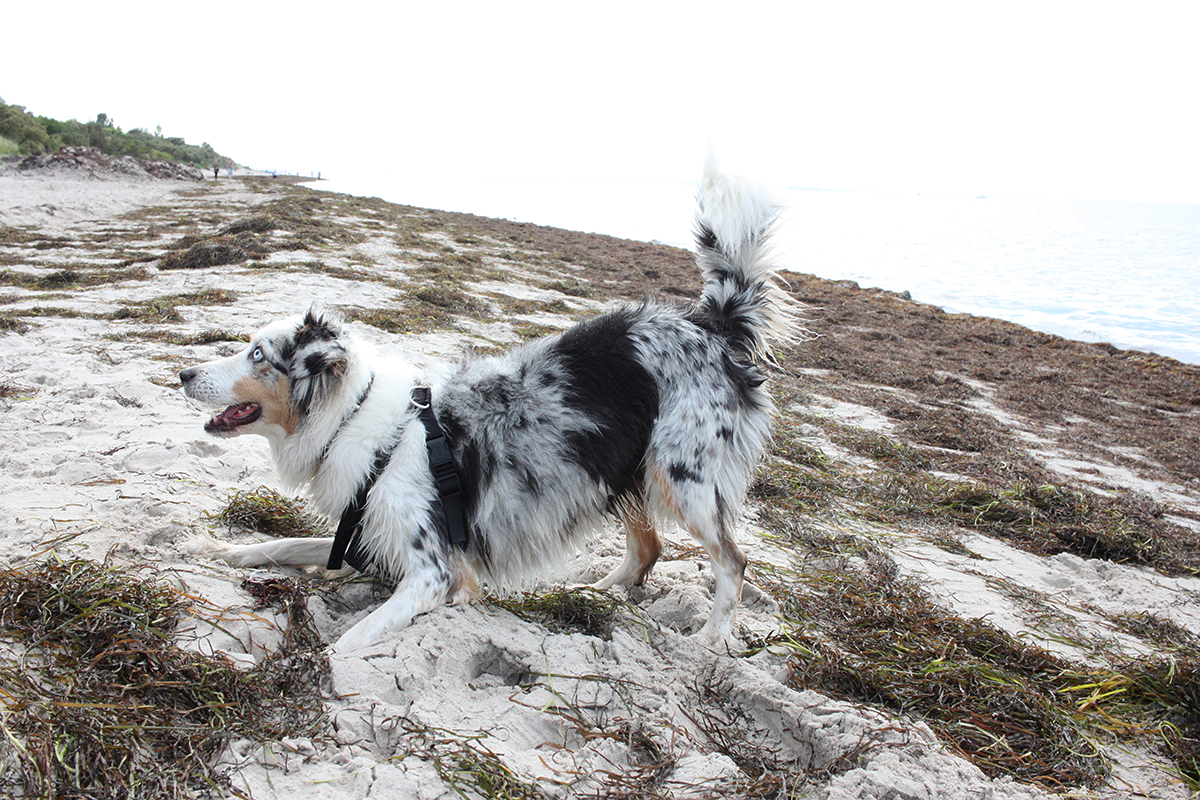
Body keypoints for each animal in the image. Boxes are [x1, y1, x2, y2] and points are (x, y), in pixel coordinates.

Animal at [177, 159, 796, 652]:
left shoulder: (433, 573)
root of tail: (709, 325)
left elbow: (351, 639)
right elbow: (279, 544)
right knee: (648, 548)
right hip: (621, 465)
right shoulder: (365, 539)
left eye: (258, 355)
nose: (184, 373)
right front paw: (216, 548)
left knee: (732, 560)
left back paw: (710, 639)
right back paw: (595, 593)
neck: (357, 423)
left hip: (681, 476)